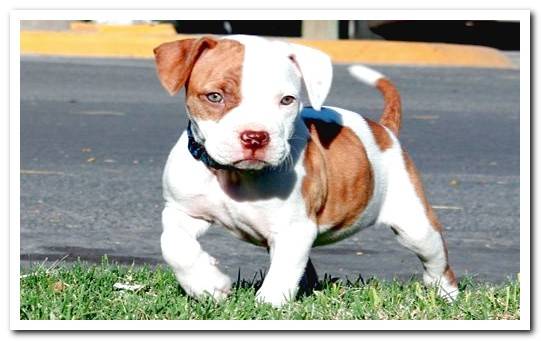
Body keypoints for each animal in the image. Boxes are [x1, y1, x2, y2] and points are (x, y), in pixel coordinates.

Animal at [154, 33, 458, 306]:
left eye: (287, 100)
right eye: (215, 96)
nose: (255, 137)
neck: (233, 175)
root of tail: (384, 129)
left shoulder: (294, 229)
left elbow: (282, 274)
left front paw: (267, 305)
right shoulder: (181, 210)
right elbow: (173, 244)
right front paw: (207, 284)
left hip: (416, 226)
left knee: (437, 264)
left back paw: (446, 296)